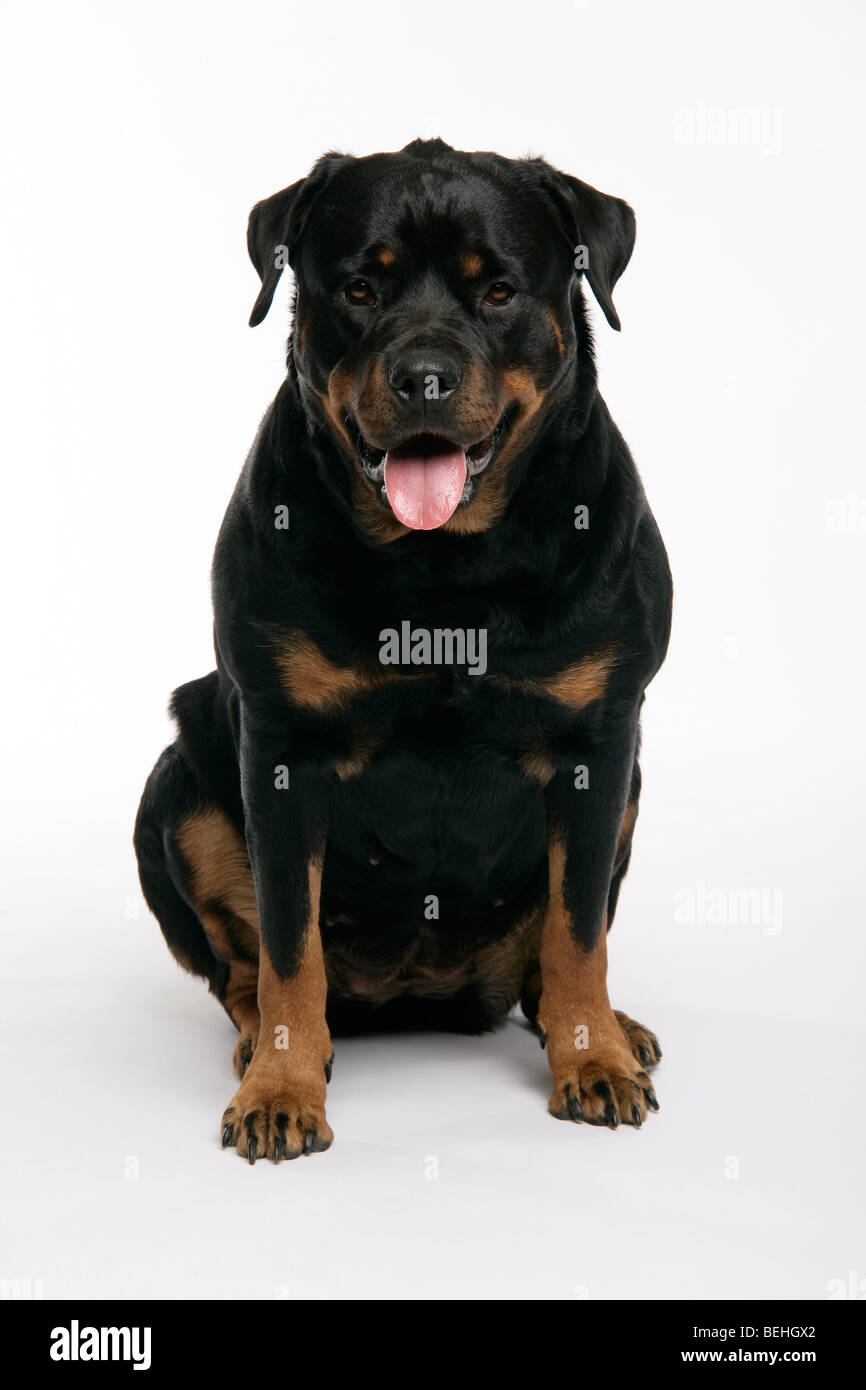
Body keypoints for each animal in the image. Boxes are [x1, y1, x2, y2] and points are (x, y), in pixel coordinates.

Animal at [136, 141, 678, 1162]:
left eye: (498, 291)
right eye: (359, 288)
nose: (423, 374)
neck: (443, 574)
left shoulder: (599, 743)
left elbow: (579, 929)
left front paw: (593, 1059)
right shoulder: (281, 750)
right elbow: (289, 943)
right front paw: (281, 1086)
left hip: (629, 785)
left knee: (551, 953)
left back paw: (611, 1028)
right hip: (176, 784)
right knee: (242, 970)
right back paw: (257, 1043)